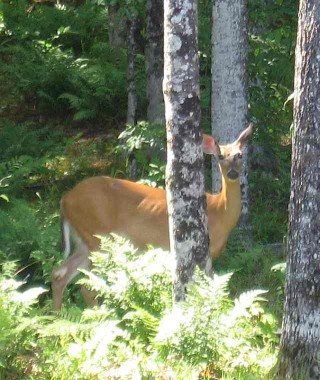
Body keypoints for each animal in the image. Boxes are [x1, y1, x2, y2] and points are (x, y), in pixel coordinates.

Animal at [52, 126, 252, 310]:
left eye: (240, 155)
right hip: (98, 239)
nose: (232, 173)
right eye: (220, 156)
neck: (220, 212)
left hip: (84, 240)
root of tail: (65, 199)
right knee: (86, 288)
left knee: (59, 274)